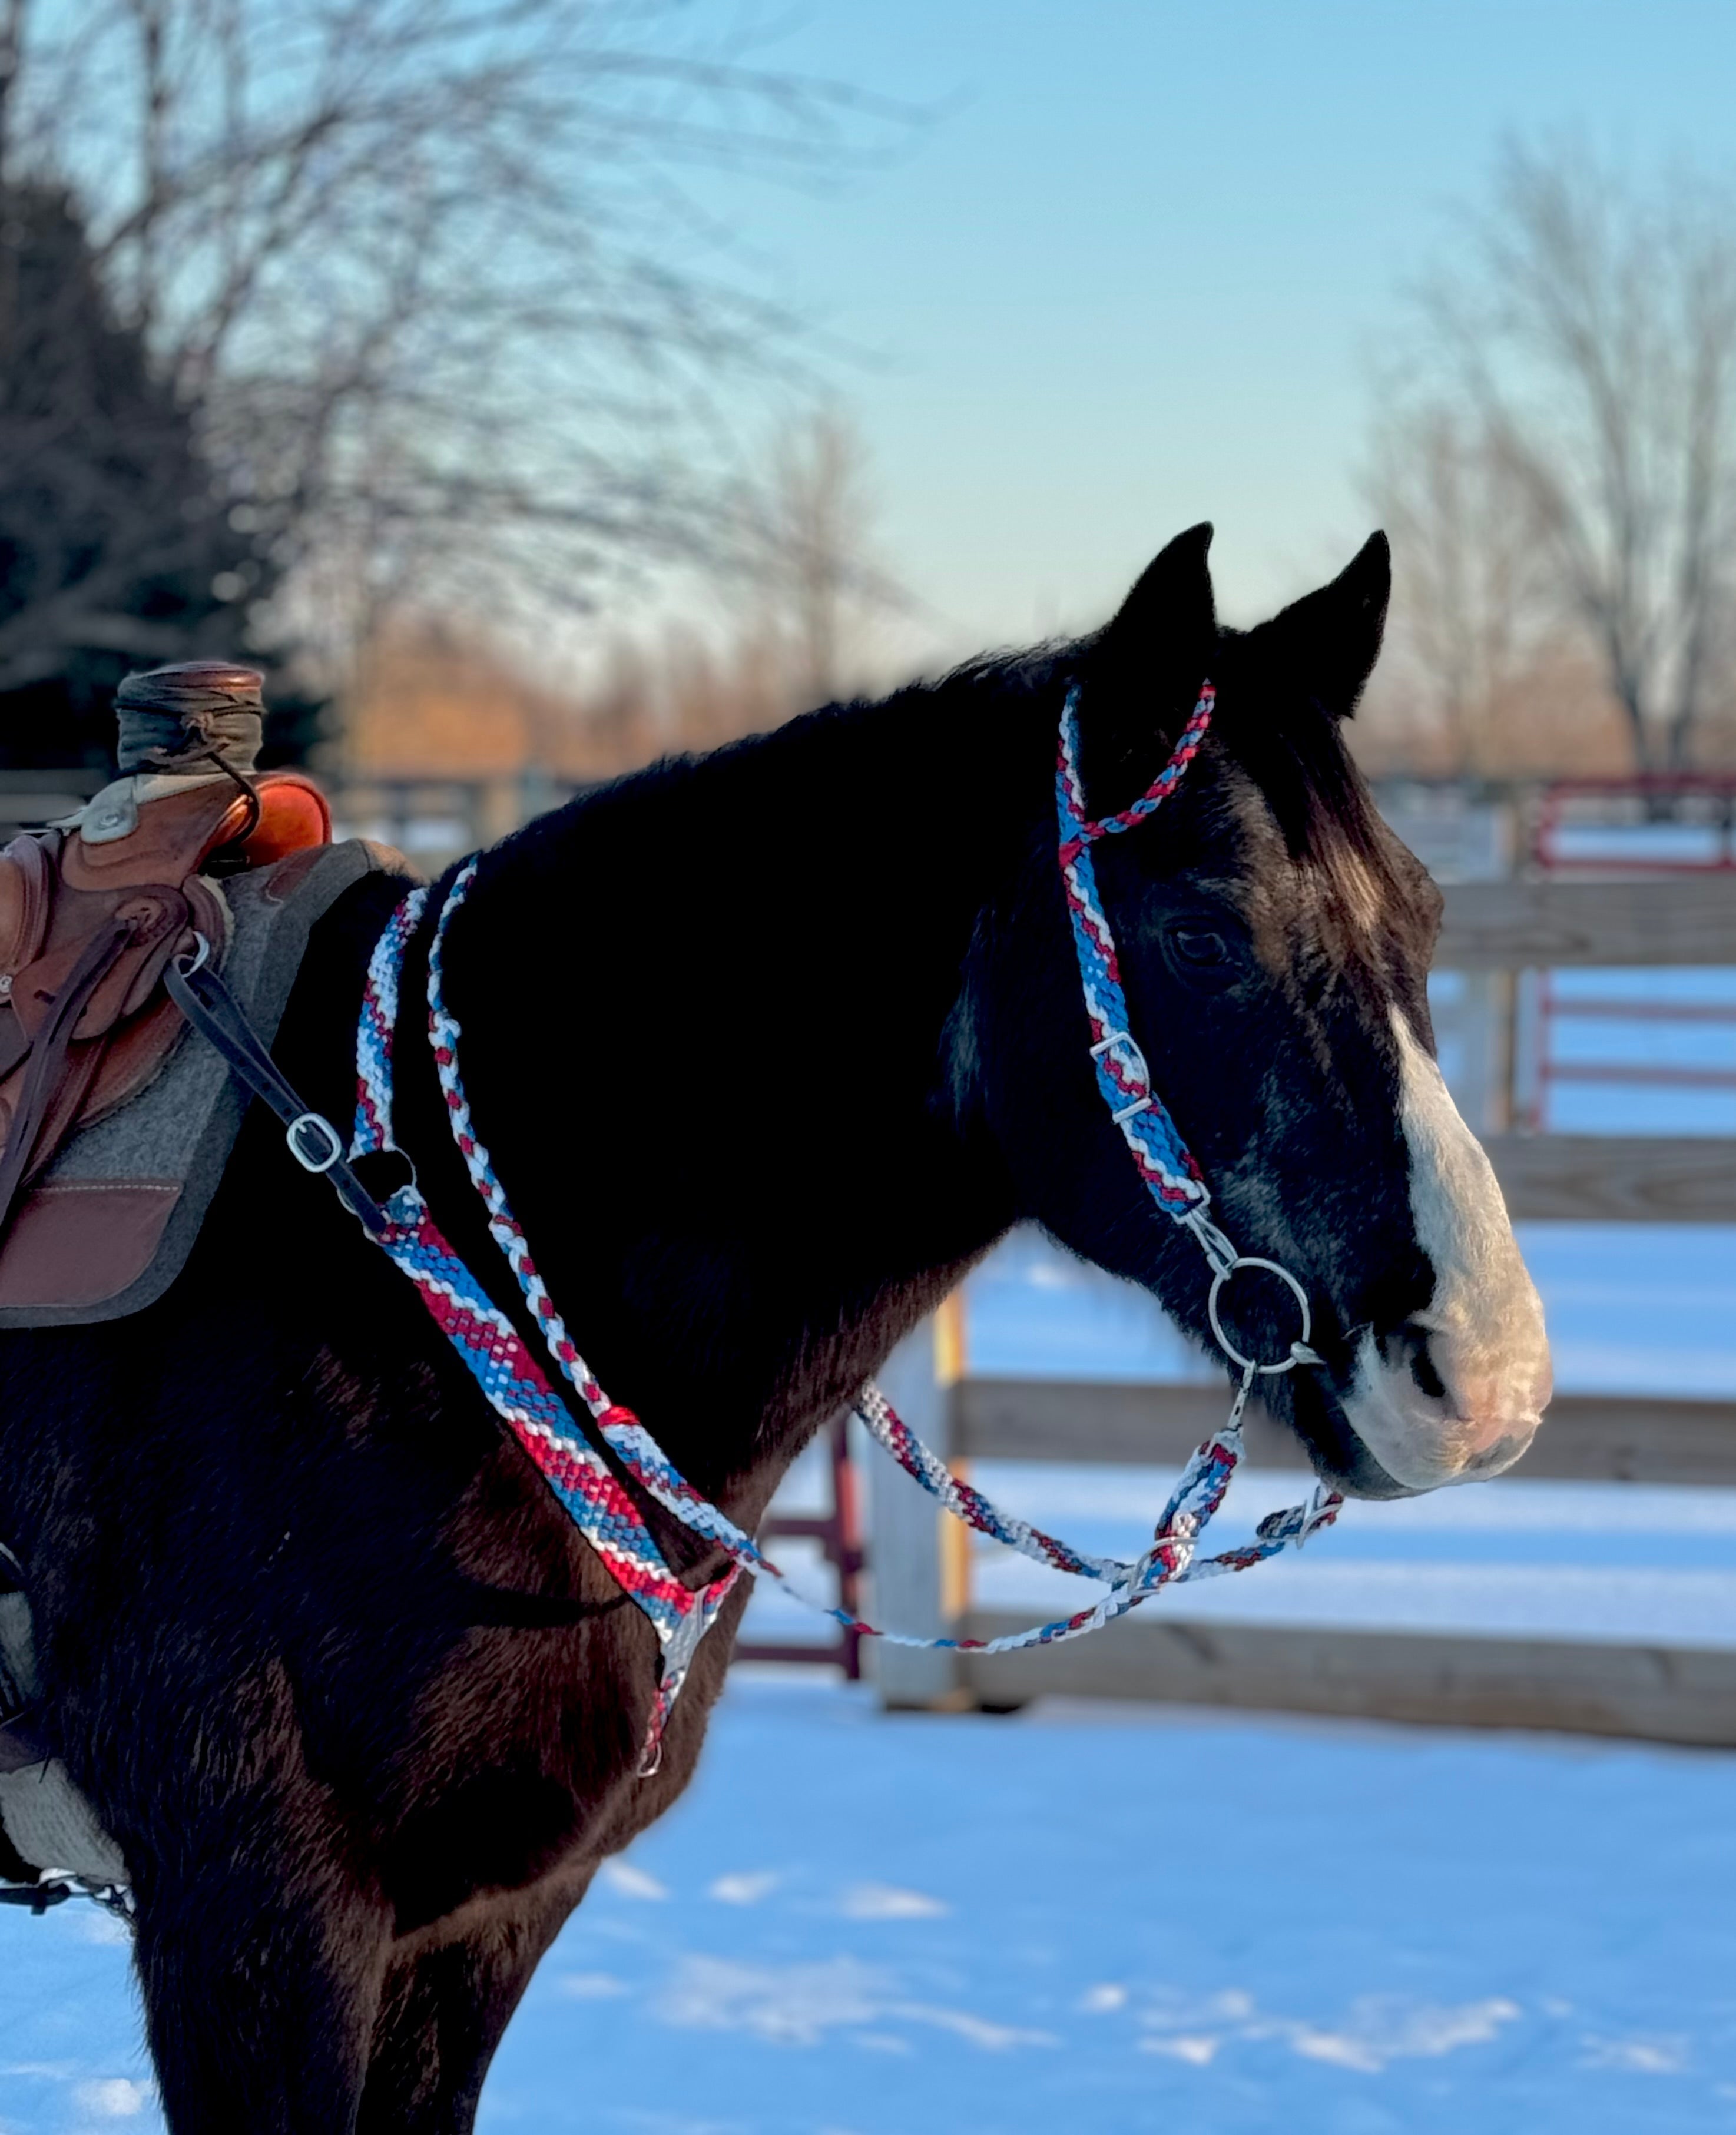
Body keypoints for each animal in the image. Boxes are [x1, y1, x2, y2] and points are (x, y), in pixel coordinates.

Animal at [0, 521, 1546, 2135]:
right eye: (1196, 932)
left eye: (1426, 916)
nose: (1482, 1373)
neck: (413, 1246)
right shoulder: (258, 1929)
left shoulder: (479, 1927)